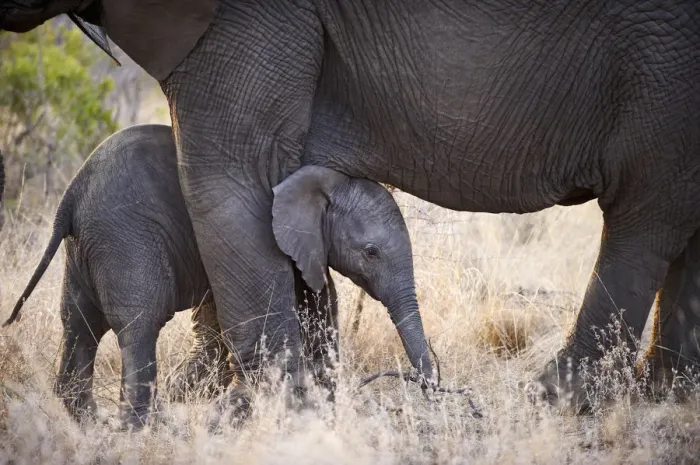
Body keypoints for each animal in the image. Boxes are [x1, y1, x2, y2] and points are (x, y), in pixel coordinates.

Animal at [3, 124, 430, 428]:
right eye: (371, 253)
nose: (424, 386)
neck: (323, 179)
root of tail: (71, 195)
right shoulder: (276, 245)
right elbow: (311, 311)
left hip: (84, 248)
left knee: (78, 322)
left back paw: (87, 422)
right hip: (125, 238)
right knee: (139, 324)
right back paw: (146, 428)